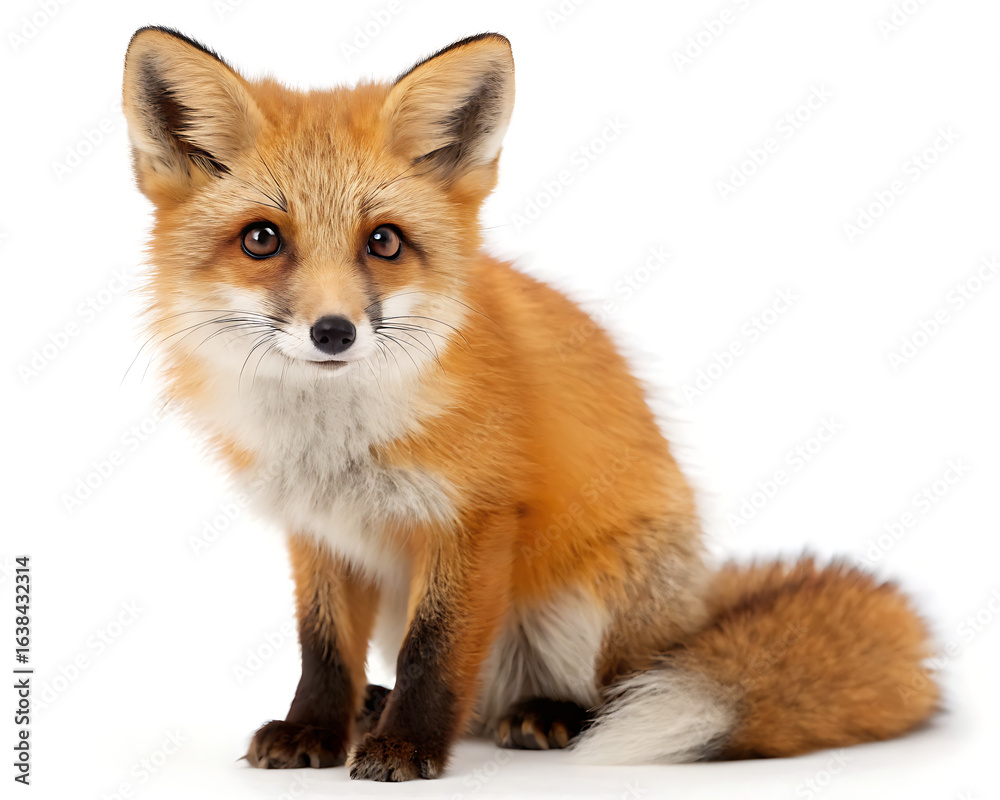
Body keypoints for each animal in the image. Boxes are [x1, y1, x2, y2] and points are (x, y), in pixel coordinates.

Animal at [121, 26, 939, 782]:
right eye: (262, 239)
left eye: (384, 242)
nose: (334, 331)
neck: (334, 439)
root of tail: (697, 610)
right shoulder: (319, 532)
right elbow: (322, 649)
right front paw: (317, 730)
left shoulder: (475, 517)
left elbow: (435, 650)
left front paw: (408, 748)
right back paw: (377, 708)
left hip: (592, 599)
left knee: (610, 687)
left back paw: (550, 715)